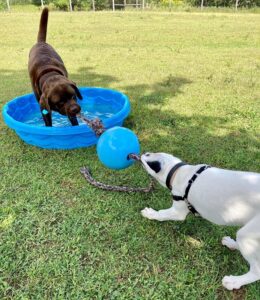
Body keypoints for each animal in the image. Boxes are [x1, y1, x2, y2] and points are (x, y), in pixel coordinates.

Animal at [141, 152, 258, 290]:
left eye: (148, 155)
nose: (140, 154)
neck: (179, 172)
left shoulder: (177, 212)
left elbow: (161, 214)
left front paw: (150, 213)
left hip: (247, 234)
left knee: (256, 270)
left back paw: (234, 281)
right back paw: (231, 243)